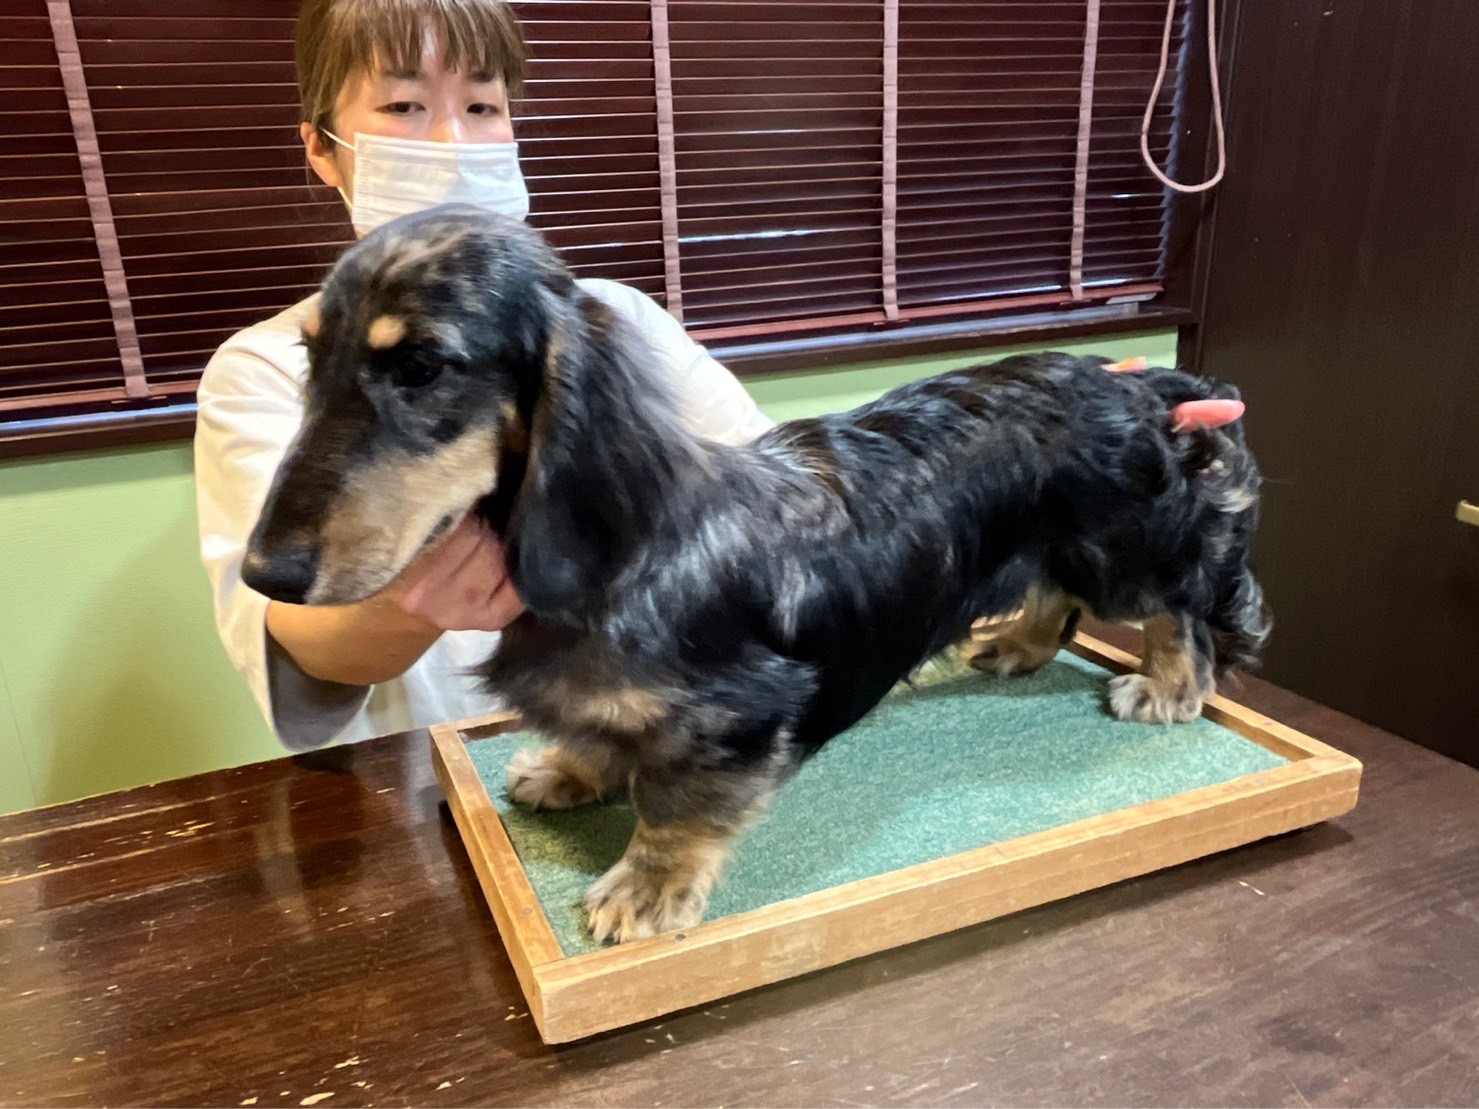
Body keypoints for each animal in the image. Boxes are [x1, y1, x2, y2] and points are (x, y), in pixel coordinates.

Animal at [243, 205, 1271, 944]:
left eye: (421, 366)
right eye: (311, 357)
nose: (264, 575)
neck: (627, 555)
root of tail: (1139, 383)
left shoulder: (738, 712)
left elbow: (673, 806)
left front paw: (645, 887)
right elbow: (599, 733)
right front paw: (570, 767)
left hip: (1125, 553)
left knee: (1176, 604)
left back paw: (1168, 686)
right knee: (1055, 595)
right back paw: (1015, 642)